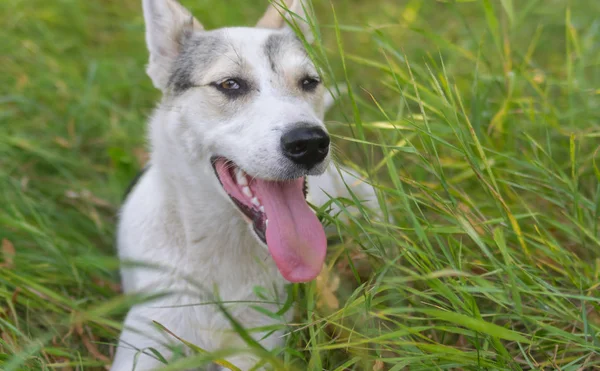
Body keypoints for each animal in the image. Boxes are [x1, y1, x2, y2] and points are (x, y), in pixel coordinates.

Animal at [110, 0, 378, 370]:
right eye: (230, 84)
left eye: (309, 82)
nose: (310, 142)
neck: (222, 249)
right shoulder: (146, 339)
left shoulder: (257, 347)